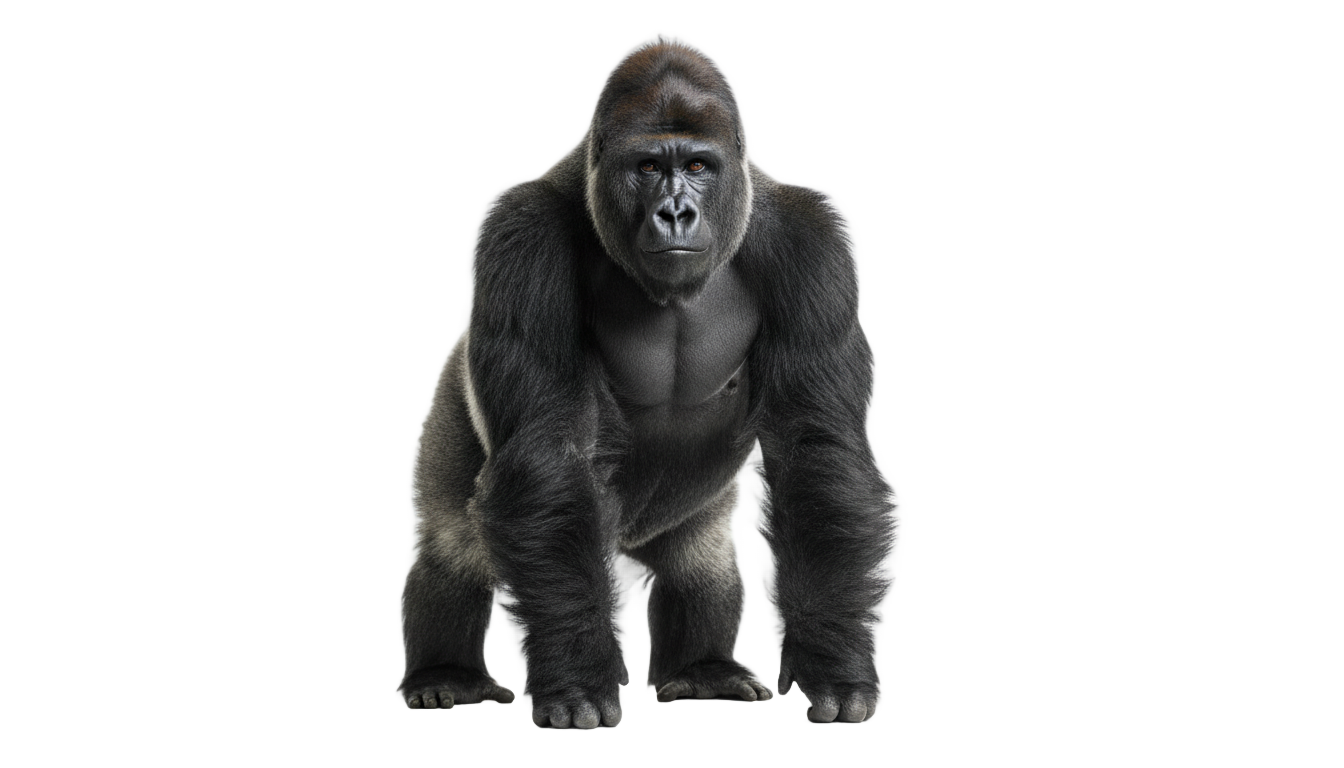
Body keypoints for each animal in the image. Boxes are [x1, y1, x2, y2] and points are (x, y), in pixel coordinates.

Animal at [399, 39, 893, 727]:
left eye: (698, 166)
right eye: (648, 167)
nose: (676, 212)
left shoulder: (811, 243)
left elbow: (816, 451)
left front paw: (834, 658)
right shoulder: (521, 233)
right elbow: (549, 456)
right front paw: (576, 674)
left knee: (697, 556)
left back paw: (701, 669)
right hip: (449, 402)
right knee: (455, 546)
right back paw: (447, 675)